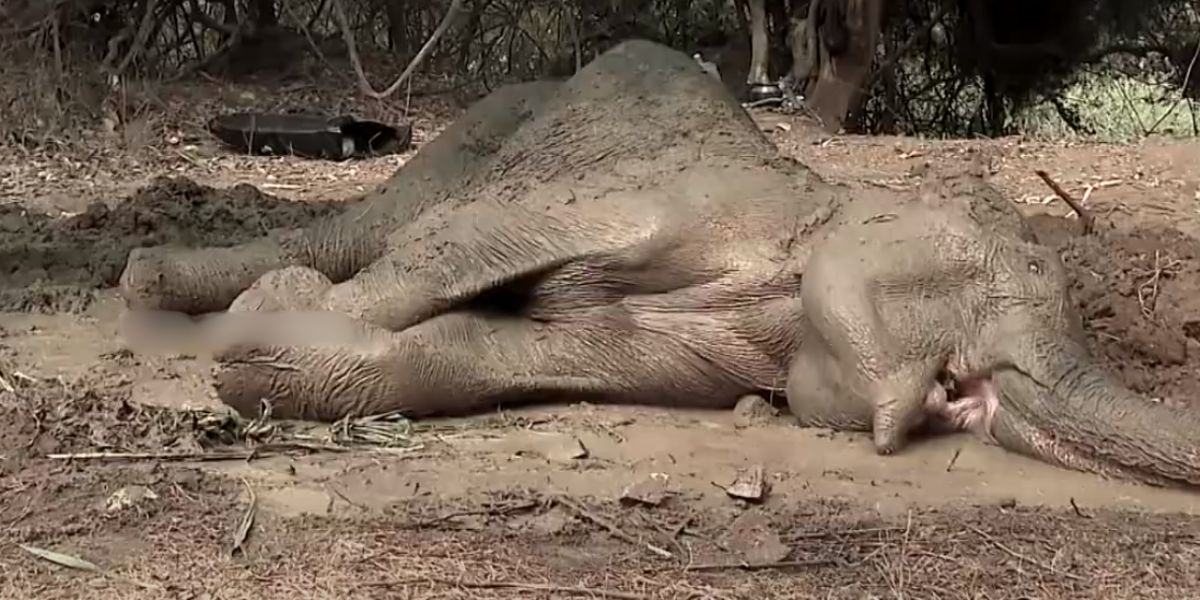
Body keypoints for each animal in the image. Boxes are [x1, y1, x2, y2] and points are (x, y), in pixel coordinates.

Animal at [117, 39, 1200, 489]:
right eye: (990, 281)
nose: (957, 398)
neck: (815, 216)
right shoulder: (665, 204)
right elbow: (453, 249)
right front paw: (264, 318)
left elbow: (494, 353)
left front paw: (266, 365)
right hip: (485, 126)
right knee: (373, 227)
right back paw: (151, 282)